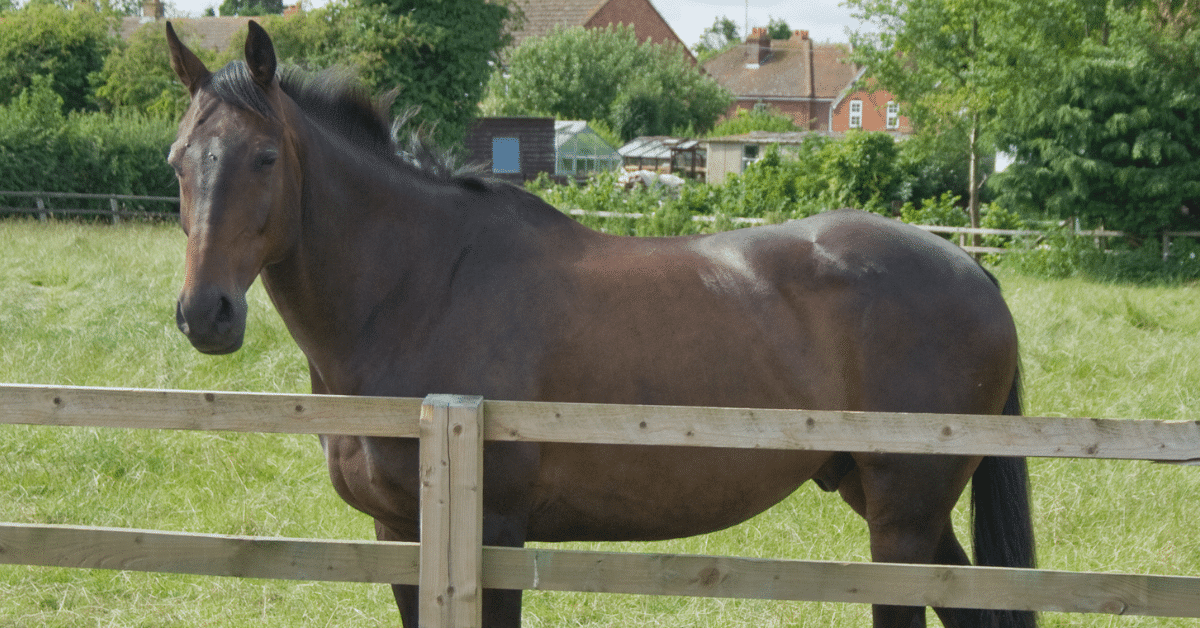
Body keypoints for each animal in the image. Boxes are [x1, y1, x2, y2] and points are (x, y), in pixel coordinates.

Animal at [166, 21, 1035, 628]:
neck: (420, 287)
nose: (206, 314)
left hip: (902, 516)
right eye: (179, 160)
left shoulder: (495, 534)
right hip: (893, 504)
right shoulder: (397, 534)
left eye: (266, 158)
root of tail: (972, 269)